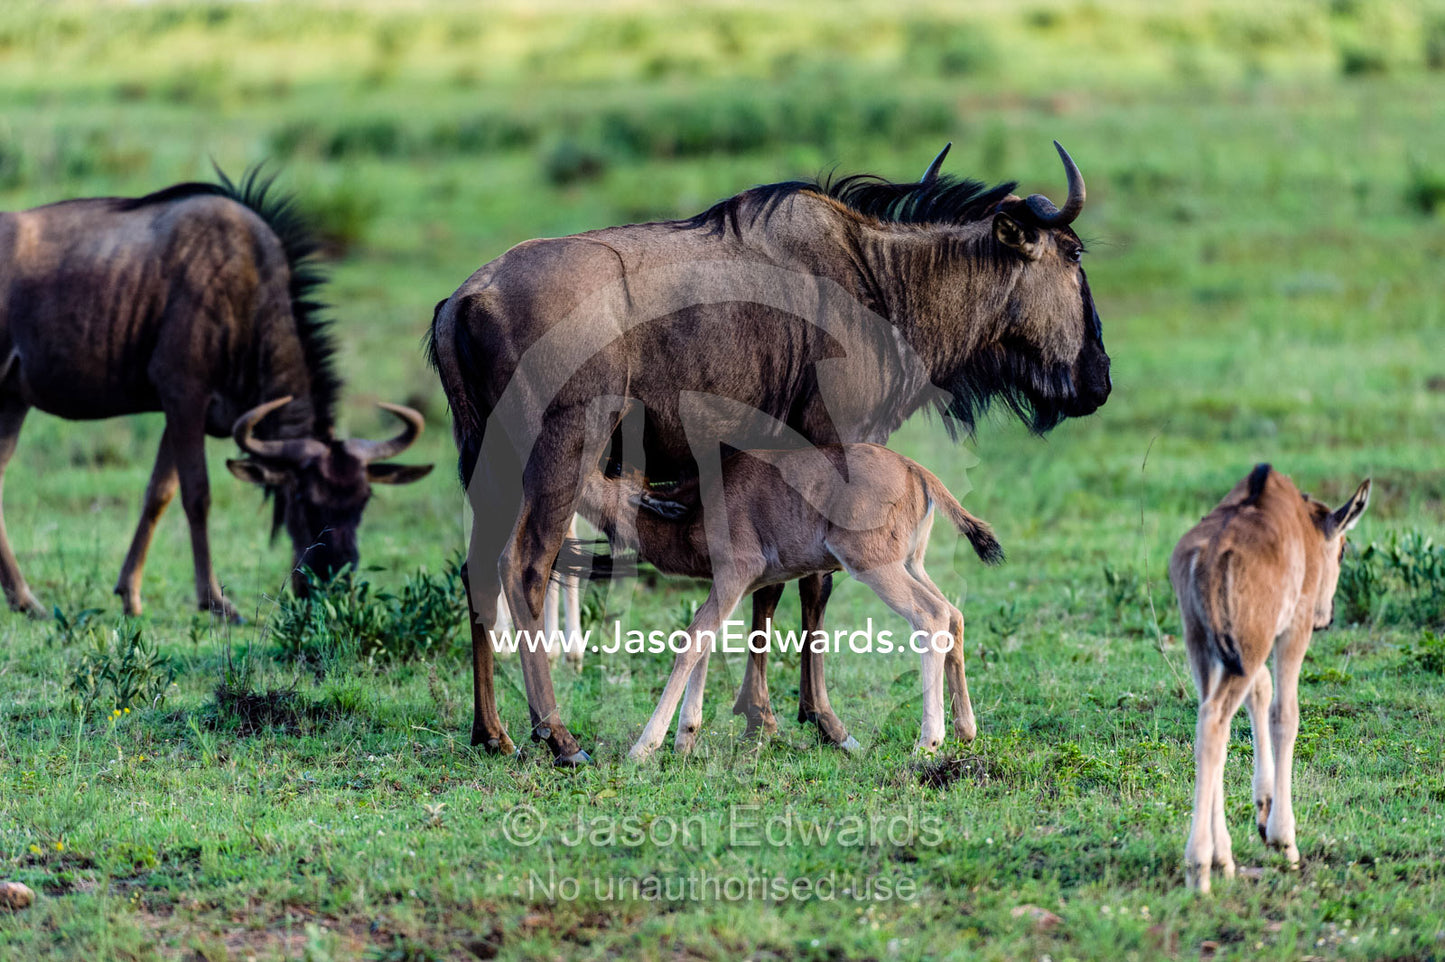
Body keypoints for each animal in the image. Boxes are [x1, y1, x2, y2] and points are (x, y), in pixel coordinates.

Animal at [1170, 464, 1370, 893]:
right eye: (1343, 550)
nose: (1326, 616)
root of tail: (1210, 557)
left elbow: (1260, 692)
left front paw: (1261, 812)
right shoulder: (1292, 629)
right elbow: (1285, 715)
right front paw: (1283, 838)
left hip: (1202, 643)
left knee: (1212, 721)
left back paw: (1222, 857)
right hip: (1253, 641)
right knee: (1215, 722)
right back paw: (1199, 866)